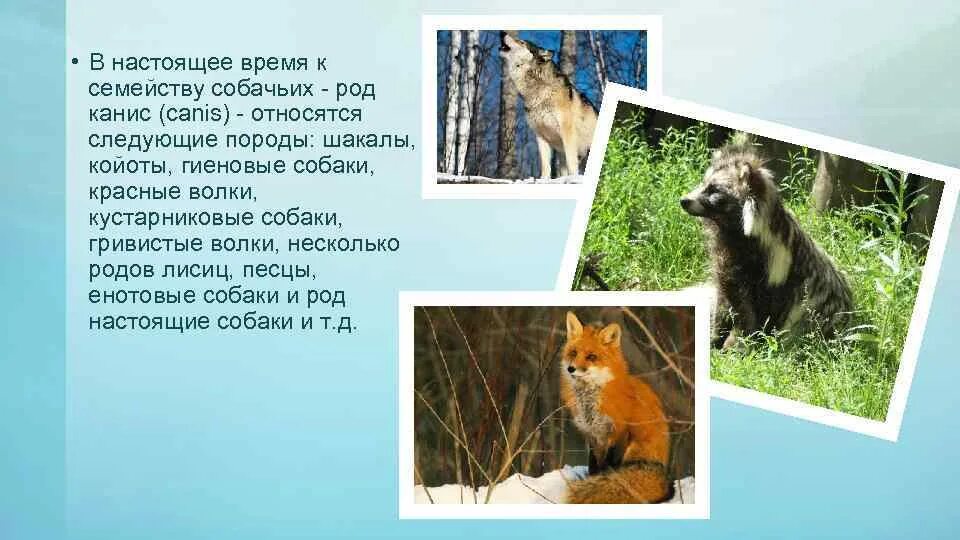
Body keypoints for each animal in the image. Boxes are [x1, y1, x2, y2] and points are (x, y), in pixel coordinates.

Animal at [499, 32, 598, 179]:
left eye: (521, 42)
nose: (502, 33)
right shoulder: (540, 136)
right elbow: (545, 165)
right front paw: (544, 179)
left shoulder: (567, 134)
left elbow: (571, 163)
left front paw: (572, 179)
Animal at [680, 136, 854, 348]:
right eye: (704, 184)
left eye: (714, 191)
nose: (683, 200)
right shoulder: (729, 264)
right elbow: (725, 301)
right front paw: (715, 336)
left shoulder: (772, 277)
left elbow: (751, 315)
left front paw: (736, 343)